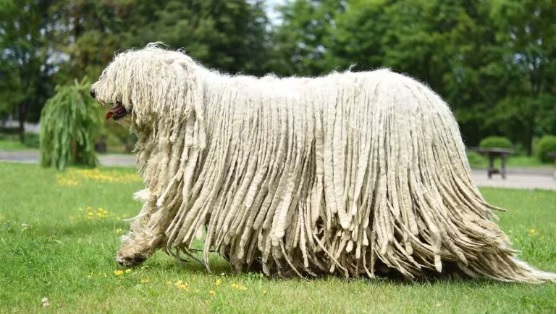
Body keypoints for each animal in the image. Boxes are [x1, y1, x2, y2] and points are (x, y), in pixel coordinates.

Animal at [90, 43, 552, 282]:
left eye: (116, 72)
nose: (93, 90)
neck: (192, 107)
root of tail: (435, 106)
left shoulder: (189, 182)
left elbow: (158, 214)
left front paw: (130, 252)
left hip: (403, 190)